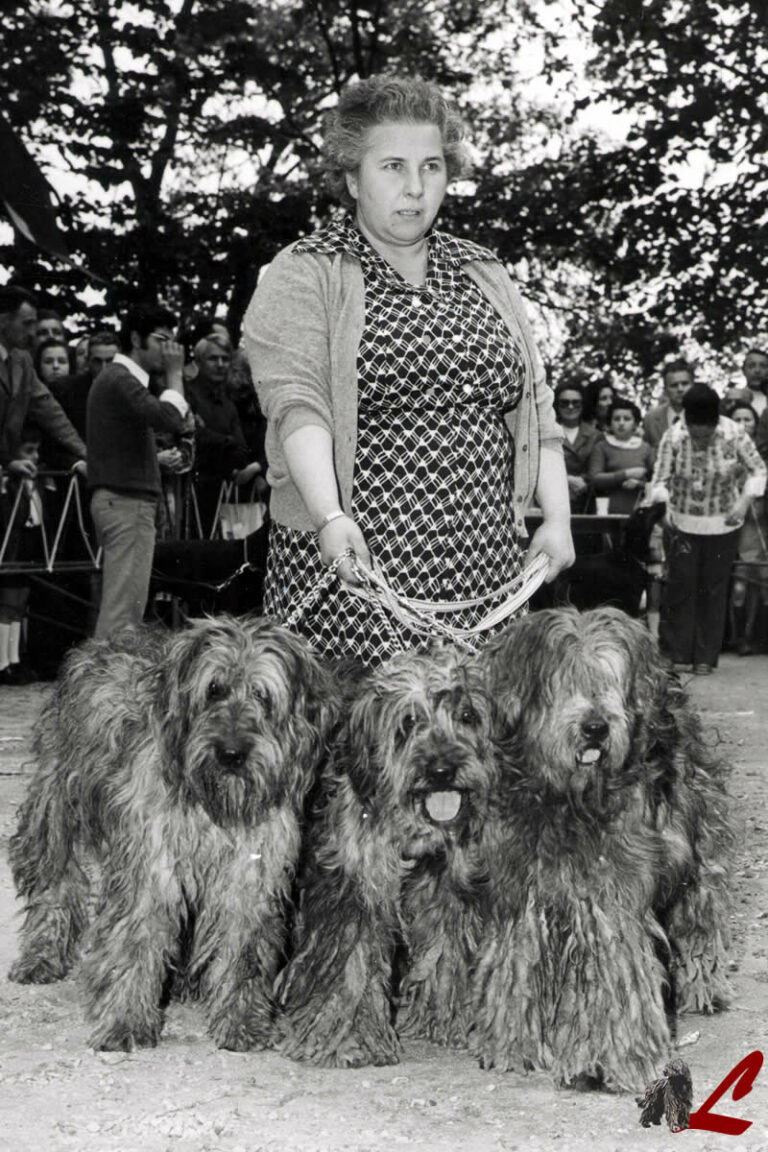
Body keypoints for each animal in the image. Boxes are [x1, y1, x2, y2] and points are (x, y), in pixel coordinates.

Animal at [6, 622, 333, 1055]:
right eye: (214, 689)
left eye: (262, 695)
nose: (231, 753)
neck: (213, 802)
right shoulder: (152, 862)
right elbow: (137, 938)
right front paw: (126, 1020)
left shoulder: (250, 873)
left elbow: (242, 949)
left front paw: (241, 1021)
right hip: (56, 811)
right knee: (55, 884)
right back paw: (41, 958)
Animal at [275, 649, 499, 1069]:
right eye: (408, 721)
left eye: (467, 715)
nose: (441, 770)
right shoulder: (355, 879)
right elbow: (351, 963)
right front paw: (345, 1039)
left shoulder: (445, 881)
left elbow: (444, 951)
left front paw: (444, 1018)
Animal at [469, 608, 732, 1092]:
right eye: (565, 681)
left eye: (610, 681)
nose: (596, 727)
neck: (568, 801)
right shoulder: (521, 892)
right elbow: (516, 965)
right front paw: (512, 1046)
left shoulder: (609, 899)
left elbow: (616, 974)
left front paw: (613, 1060)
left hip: (696, 846)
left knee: (699, 914)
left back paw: (704, 987)